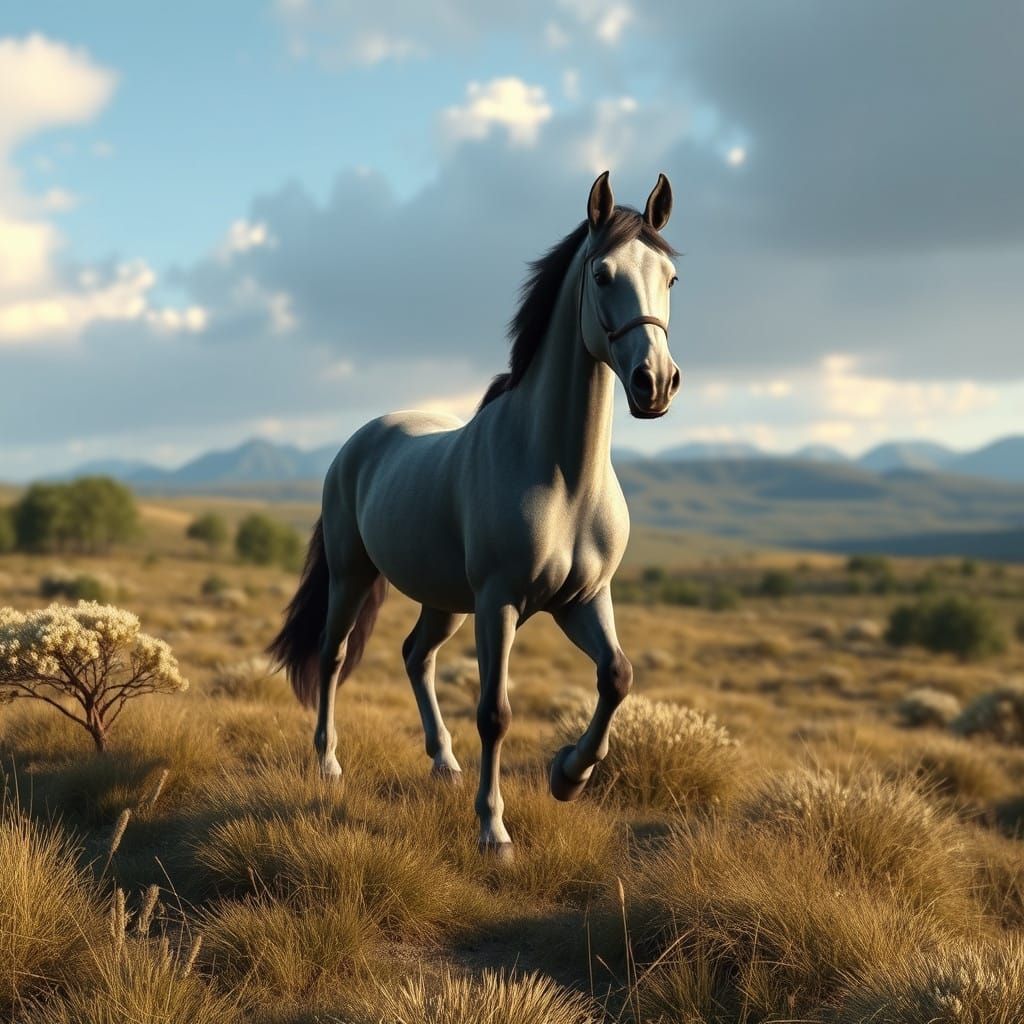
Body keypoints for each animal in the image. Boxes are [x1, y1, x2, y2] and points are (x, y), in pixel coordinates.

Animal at [269, 170, 682, 855]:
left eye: (671, 278)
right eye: (602, 274)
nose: (655, 382)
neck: (563, 477)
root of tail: (359, 441)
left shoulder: (583, 599)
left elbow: (617, 677)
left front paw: (568, 775)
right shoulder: (500, 602)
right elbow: (495, 713)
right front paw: (494, 830)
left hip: (445, 601)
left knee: (416, 655)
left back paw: (444, 762)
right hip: (354, 577)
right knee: (331, 657)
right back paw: (328, 763)